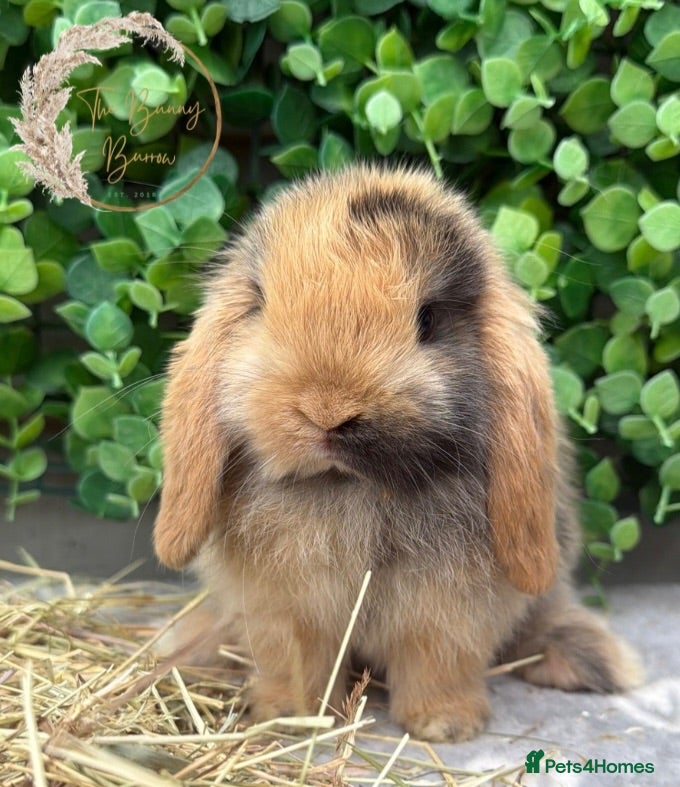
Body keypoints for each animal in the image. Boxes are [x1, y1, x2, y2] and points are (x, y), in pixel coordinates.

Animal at [153, 164, 642, 742]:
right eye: (261, 304)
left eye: (427, 320)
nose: (327, 411)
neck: (353, 487)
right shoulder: (284, 610)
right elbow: (296, 664)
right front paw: (291, 717)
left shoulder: (451, 613)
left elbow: (436, 663)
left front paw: (445, 725)